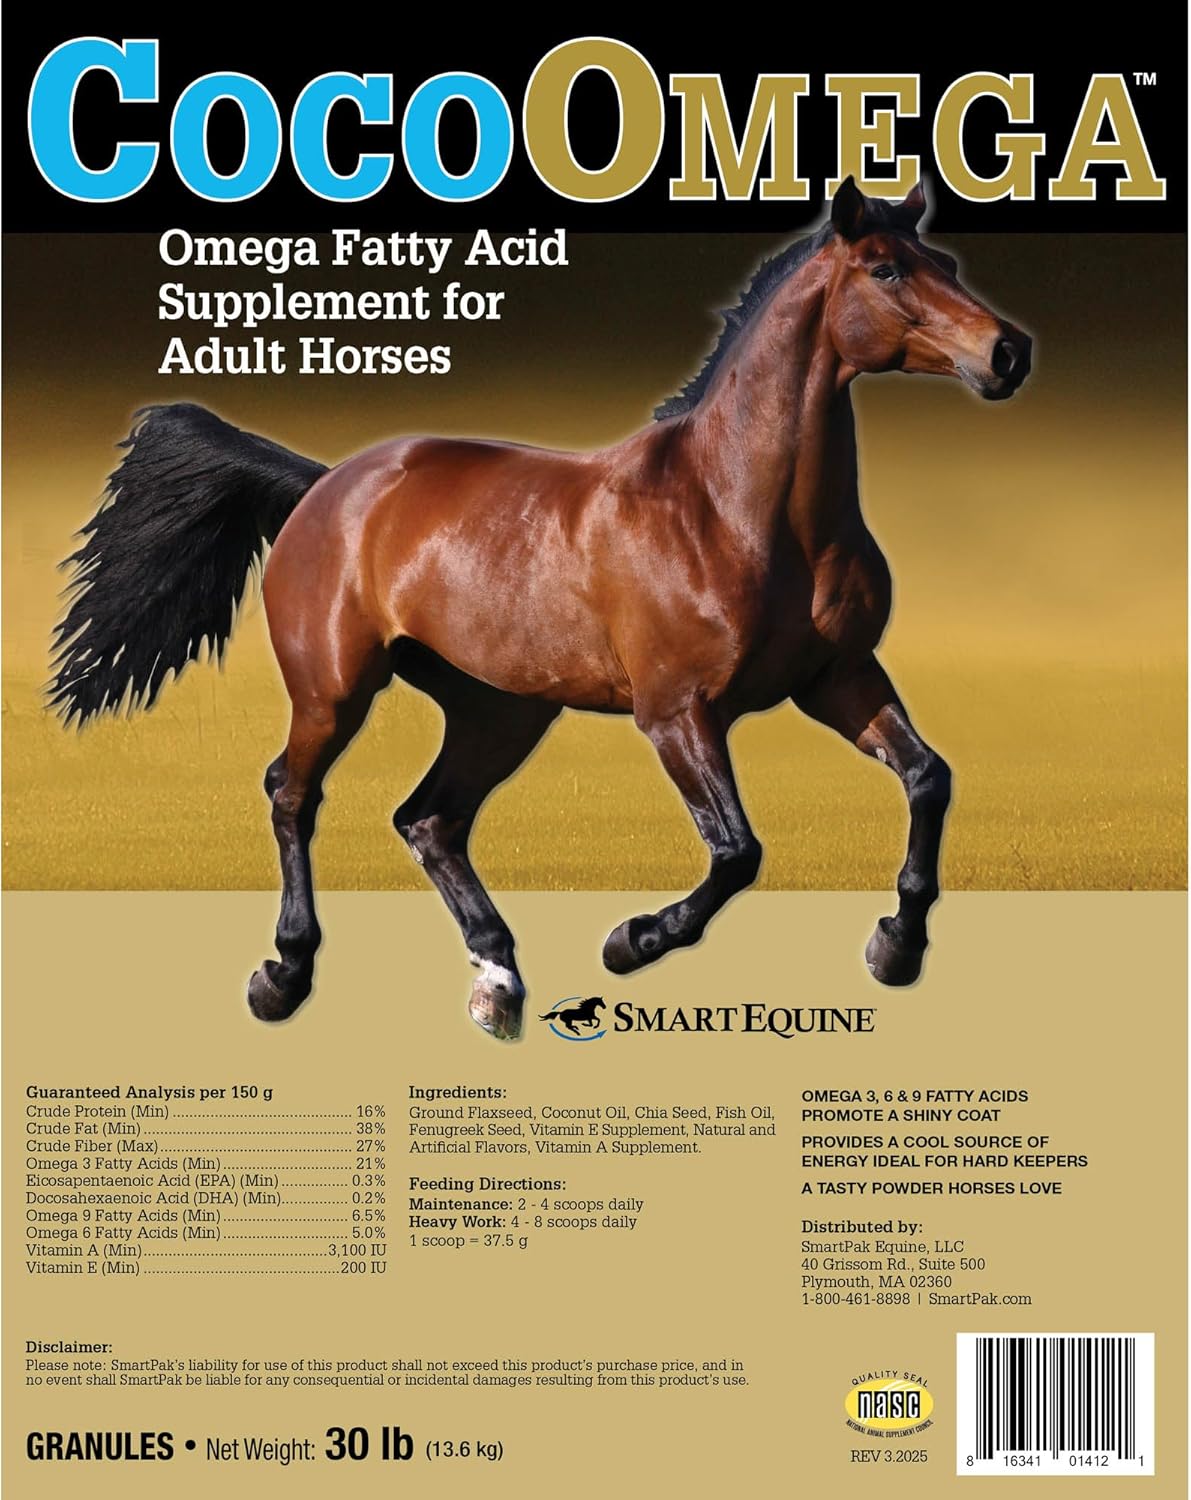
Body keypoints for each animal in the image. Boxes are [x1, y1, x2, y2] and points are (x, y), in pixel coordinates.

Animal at [49, 178, 1031, 1041]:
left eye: (944, 259)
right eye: (885, 270)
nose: (1008, 353)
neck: (734, 510)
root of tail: (327, 485)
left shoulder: (838, 679)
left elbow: (927, 778)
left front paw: (895, 947)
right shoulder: (677, 712)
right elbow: (736, 851)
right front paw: (631, 941)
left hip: (500, 711)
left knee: (429, 820)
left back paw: (497, 980)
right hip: (334, 691)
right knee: (293, 793)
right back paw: (284, 976)